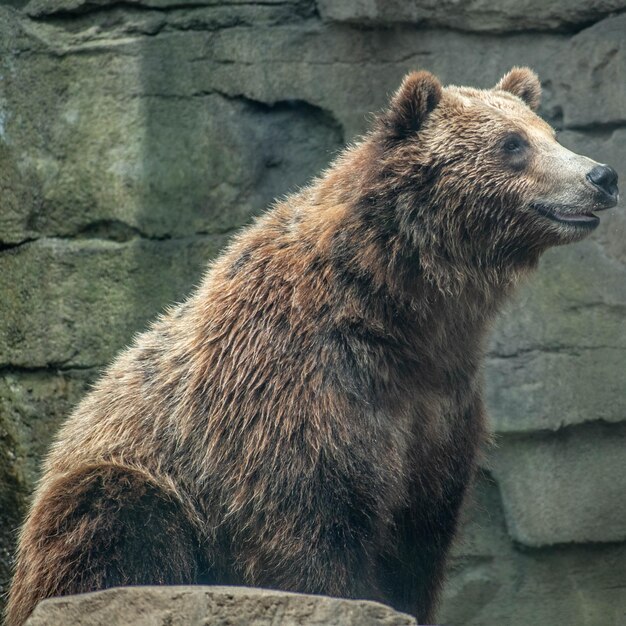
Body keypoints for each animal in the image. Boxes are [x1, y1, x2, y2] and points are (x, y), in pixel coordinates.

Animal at [4, 68, 616, 624]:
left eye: (548, 132)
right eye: (513, 144)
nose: (602, 175)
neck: (401, 308)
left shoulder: (440, 406)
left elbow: (420, 537)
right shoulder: (296, 388)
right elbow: (308, 526)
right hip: (116, 486)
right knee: (117, 515)